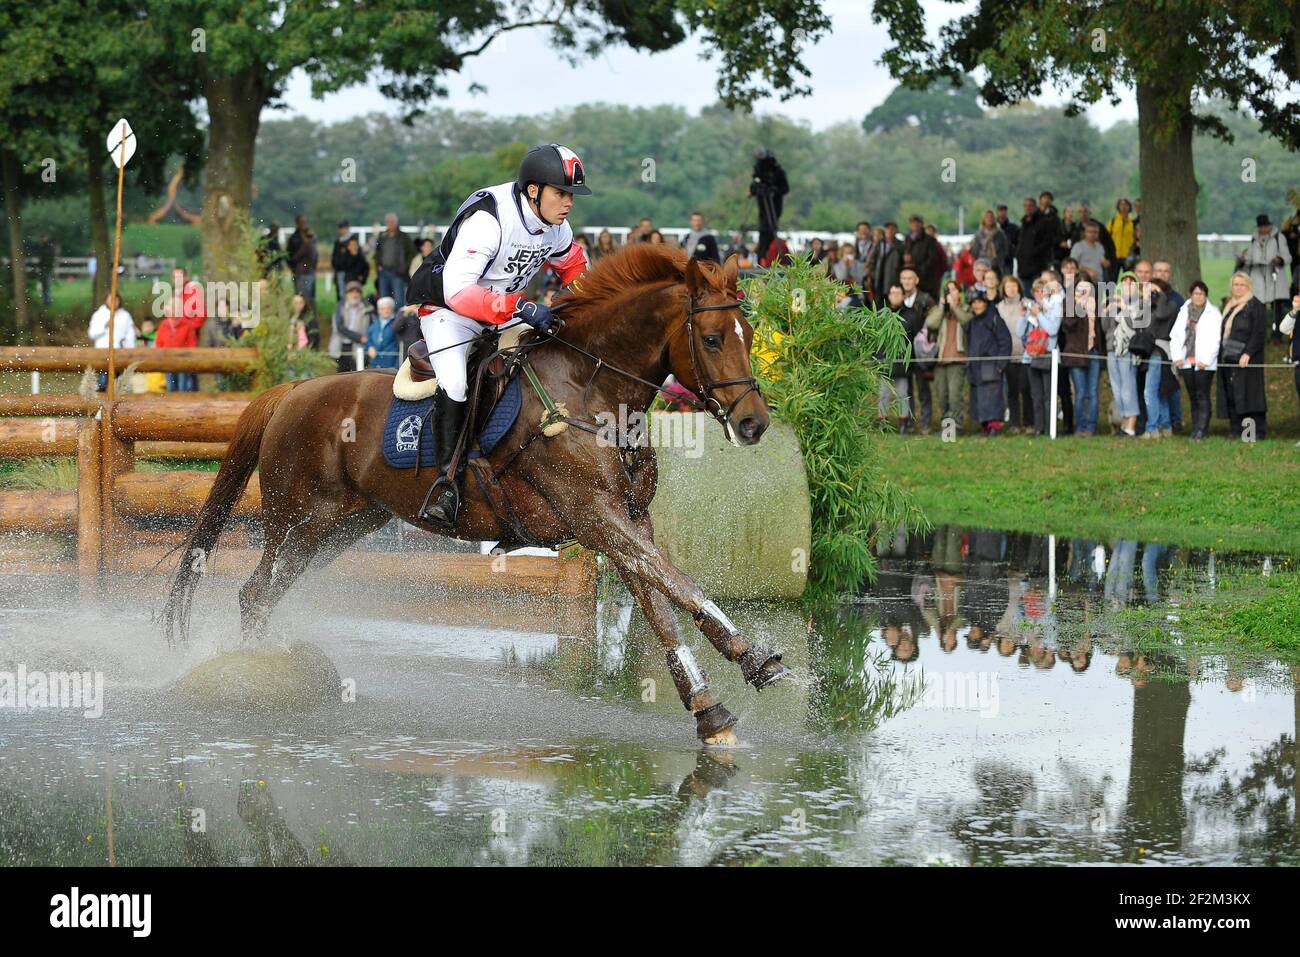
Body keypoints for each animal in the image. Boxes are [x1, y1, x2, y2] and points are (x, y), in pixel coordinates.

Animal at [162, 243, 790, 743]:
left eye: (749, 337)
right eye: (712, 338)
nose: (754, 422)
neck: (592, 391)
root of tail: (291, 390)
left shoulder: (626, 521)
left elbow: (662, 603)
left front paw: (708, 710)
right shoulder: (595, 516)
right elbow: (680, 586)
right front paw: (755, 658)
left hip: (342, 529)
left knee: (266, 594)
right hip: (299, 523)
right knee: (254, 593)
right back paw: (255, 675)